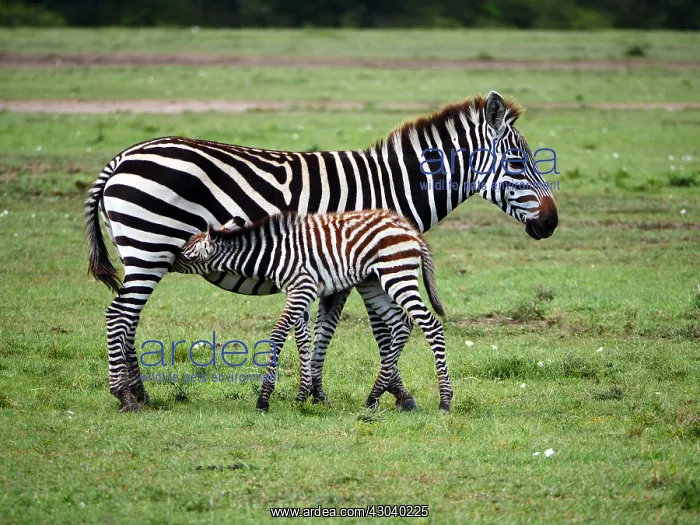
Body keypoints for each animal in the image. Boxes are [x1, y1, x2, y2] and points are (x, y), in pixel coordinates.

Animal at [174, 209, 451, 412]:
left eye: (185, 255)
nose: (167, 259)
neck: (274, 255)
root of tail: (409, 229)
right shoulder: (298, 292)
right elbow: (305, 338)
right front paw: (304, 396)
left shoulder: (302, 287)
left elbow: (278, 335)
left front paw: (264, 400)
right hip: (374, 282)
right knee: (402, 324)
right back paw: (373, 397)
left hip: (396, 274)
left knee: (430, 324)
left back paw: (445, 401)